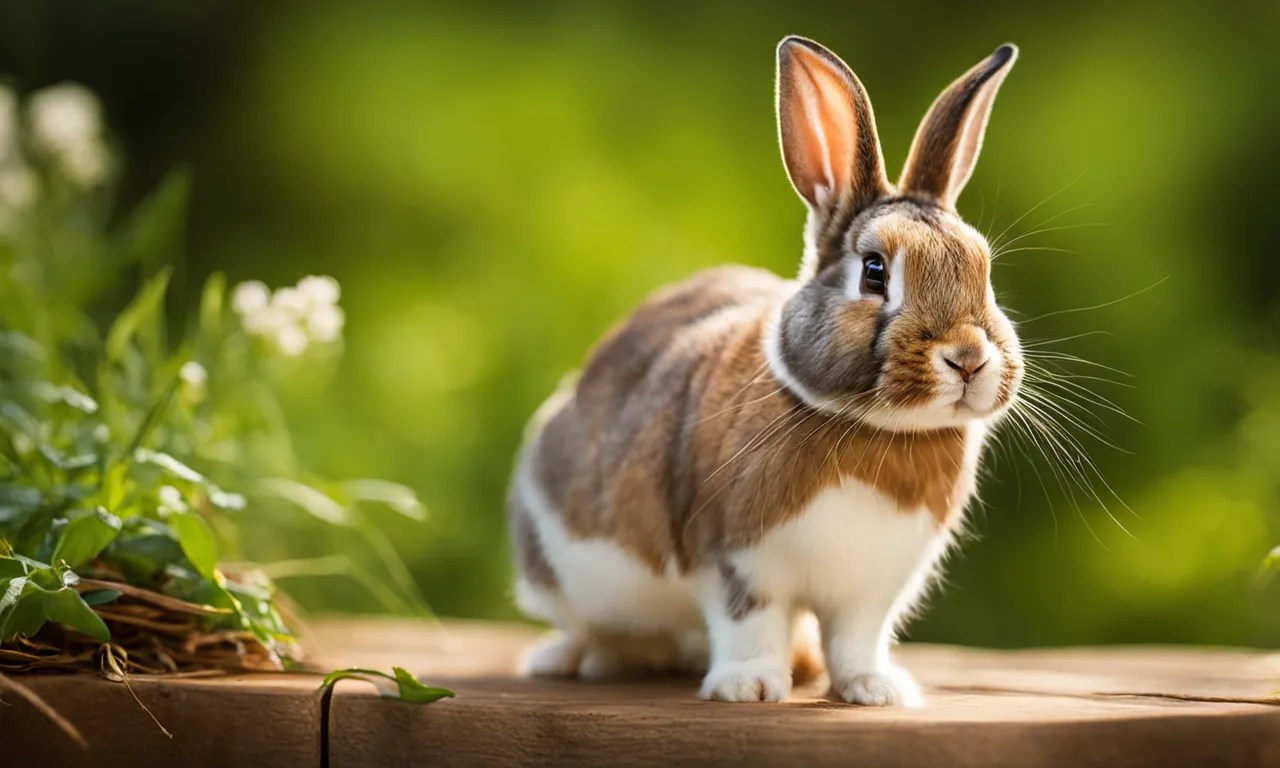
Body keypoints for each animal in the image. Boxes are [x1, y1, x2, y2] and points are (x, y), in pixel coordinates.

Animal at [509, 36, 1023, 707]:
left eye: (983, 270)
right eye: (875, 271)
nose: (968, 357)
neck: (873, 427)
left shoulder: (872, 589)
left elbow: (856, 641)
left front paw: (876, 690)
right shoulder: (735, 561)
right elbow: (748, 622)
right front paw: (748, 687)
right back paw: (571, 659)